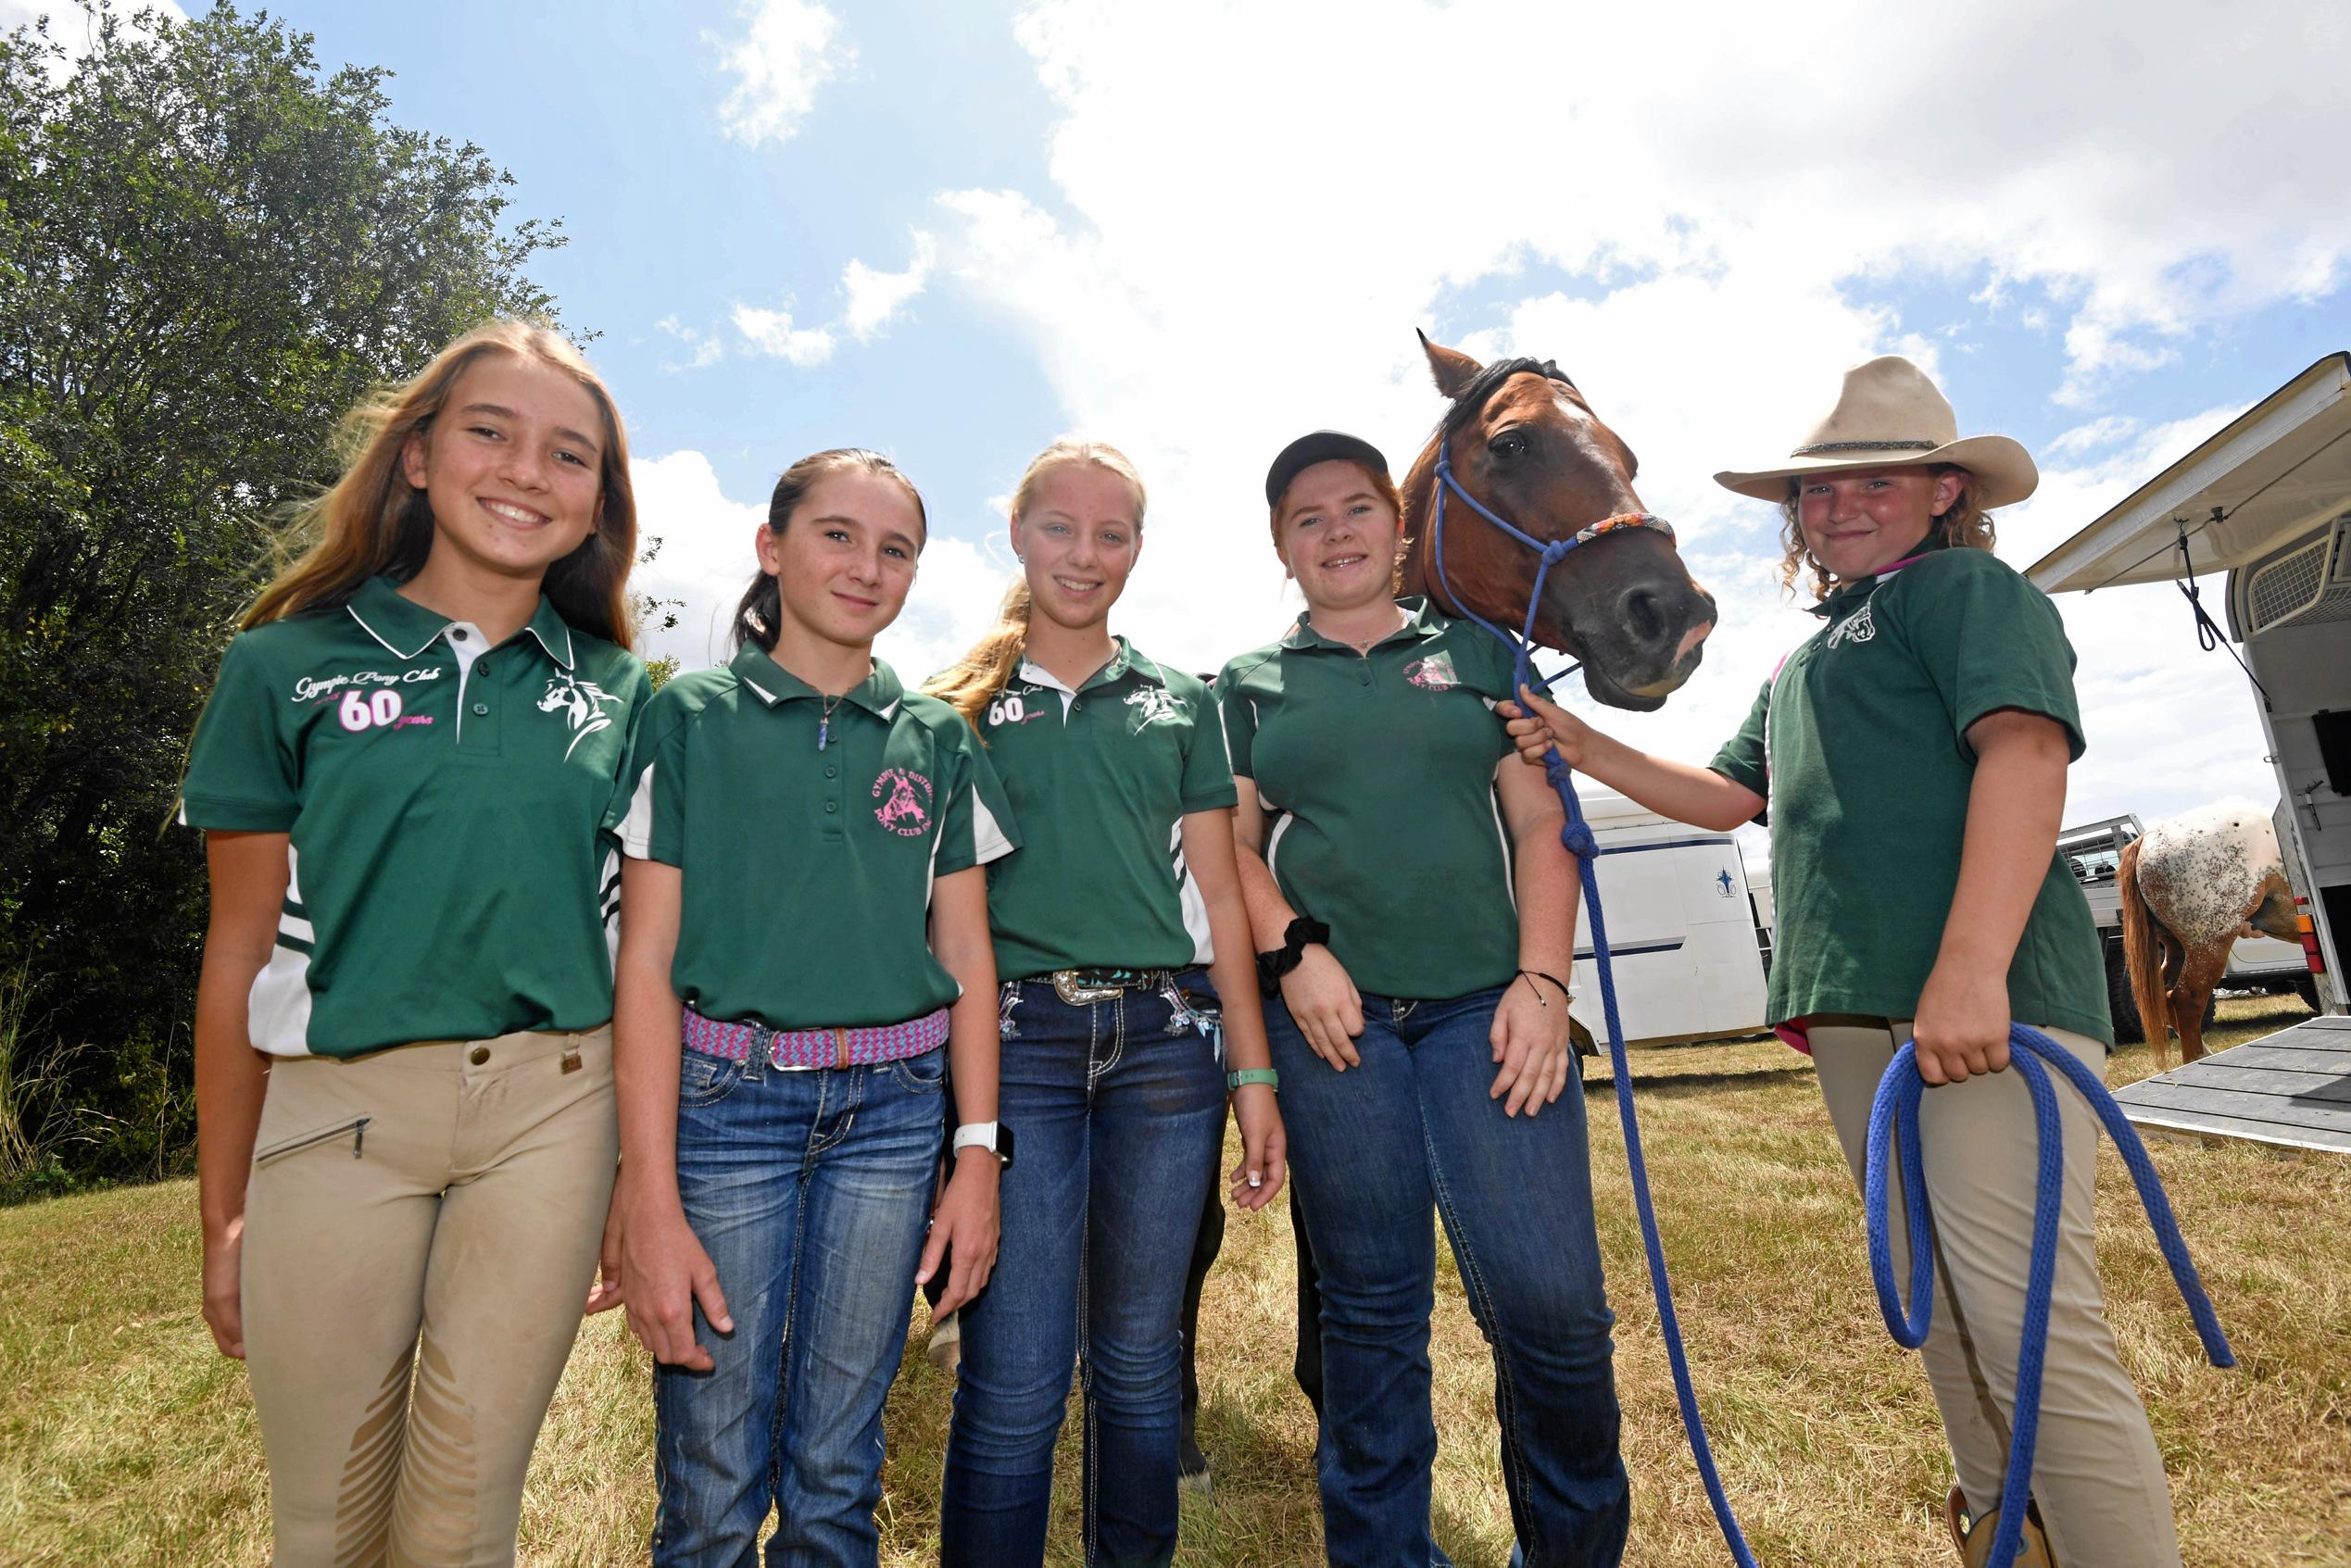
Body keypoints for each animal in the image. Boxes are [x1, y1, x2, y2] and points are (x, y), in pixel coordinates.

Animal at [2116, 804, 2294, 1072]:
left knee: (2164, 996)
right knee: (2186, 1000)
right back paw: (2196, 1059)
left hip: (2177, 948)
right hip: (2210, 945)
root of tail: (2147, 839)